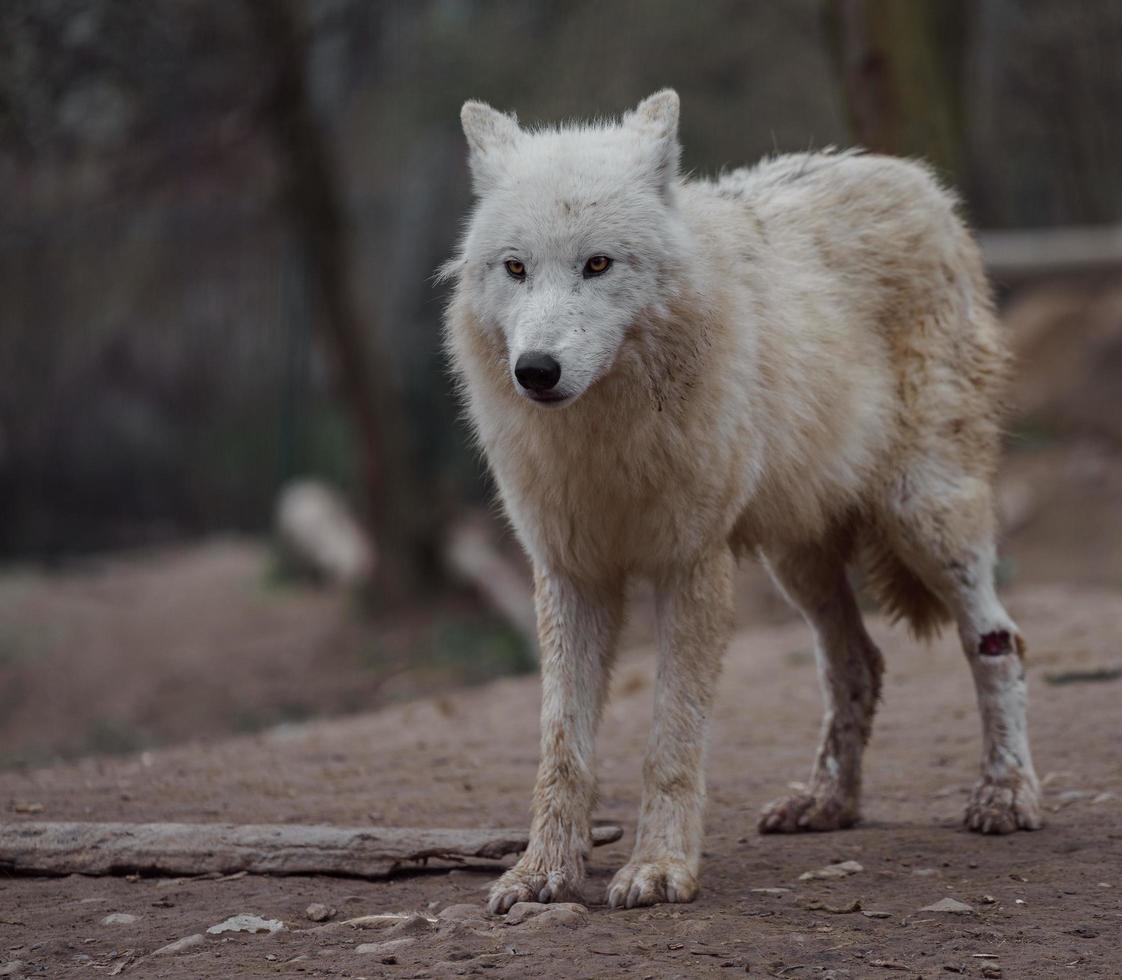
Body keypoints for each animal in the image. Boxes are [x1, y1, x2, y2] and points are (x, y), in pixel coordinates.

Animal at [439, 88, 1041, 916]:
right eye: (515, 268)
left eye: (598, 264)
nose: (536, 370)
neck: (607, 439)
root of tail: (915, 179)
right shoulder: (570, 572)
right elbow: (563, 747)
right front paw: (541, 873)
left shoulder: (691, 565)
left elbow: (671, 741)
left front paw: (658, 868)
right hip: (799, 559)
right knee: (857, 662)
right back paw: (827, 803)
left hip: (927, 518)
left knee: (998, 641)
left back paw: (1007, 794)